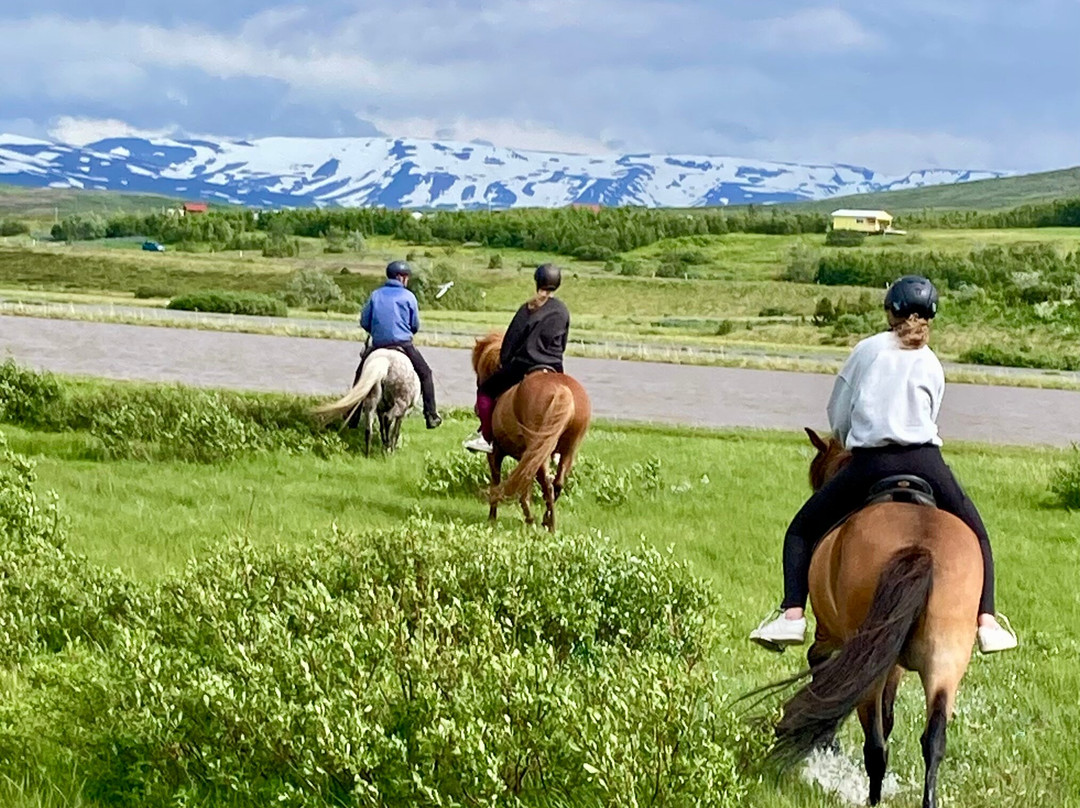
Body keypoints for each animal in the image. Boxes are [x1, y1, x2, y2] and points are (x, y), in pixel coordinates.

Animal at [472, 333, 591, 532]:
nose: (475, 408)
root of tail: (562, 390)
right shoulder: (527, 457)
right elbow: (524, 485)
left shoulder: (495, 454)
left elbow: (499, 480)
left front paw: (493, 517)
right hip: (567, 449)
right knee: (557, 484)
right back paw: (547, 520)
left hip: (539, 450)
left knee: (547, 485)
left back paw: (549, 525)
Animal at [770, 428, 982, 808]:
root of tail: (920, 547)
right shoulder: (893, 662)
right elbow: (890, 714)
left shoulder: (831, 636)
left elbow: (821, 670)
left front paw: (827, 739)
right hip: (945, 662)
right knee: (933, 739)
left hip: (868, 658)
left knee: (876, 745)